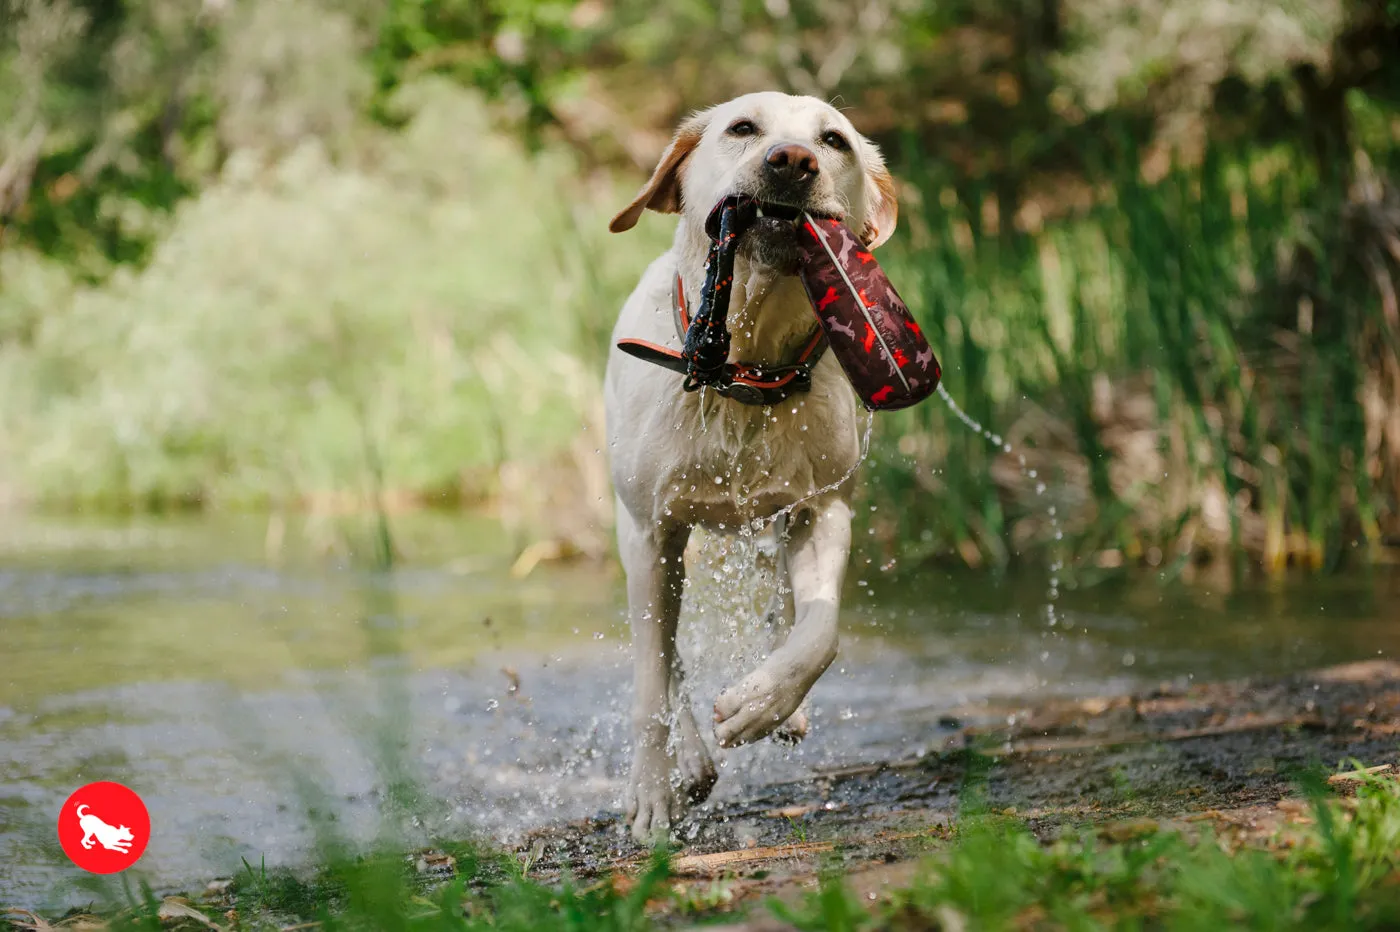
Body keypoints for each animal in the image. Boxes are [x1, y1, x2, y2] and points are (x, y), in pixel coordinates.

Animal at [604, 90, 896, 839]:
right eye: (743, 127)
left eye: (833, 140)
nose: (793, 161)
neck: (744, 369)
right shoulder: (649, 533)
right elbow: (649, 680)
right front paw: (652, 793)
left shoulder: (823, 507)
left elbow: (820, 630)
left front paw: (763, 701)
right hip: (647, 536)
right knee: (665, 653)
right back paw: (688, 761)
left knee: (781, 604)